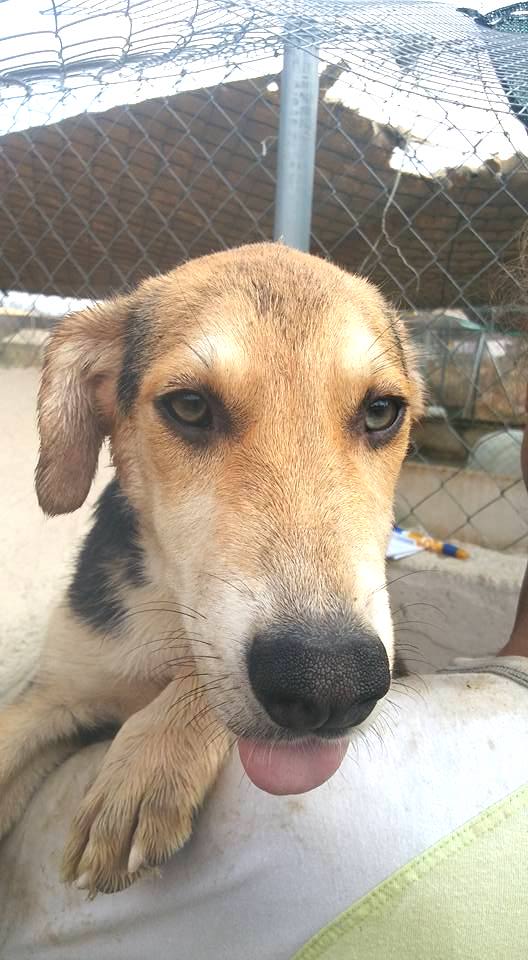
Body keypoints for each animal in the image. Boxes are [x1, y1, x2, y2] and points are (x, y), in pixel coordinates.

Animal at [0, 242, 422, 895]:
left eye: (381, 412)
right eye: (190, 406)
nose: (330, 682)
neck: (168, 613)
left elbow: (199, 675)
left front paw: (148, 760)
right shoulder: (53, 692)